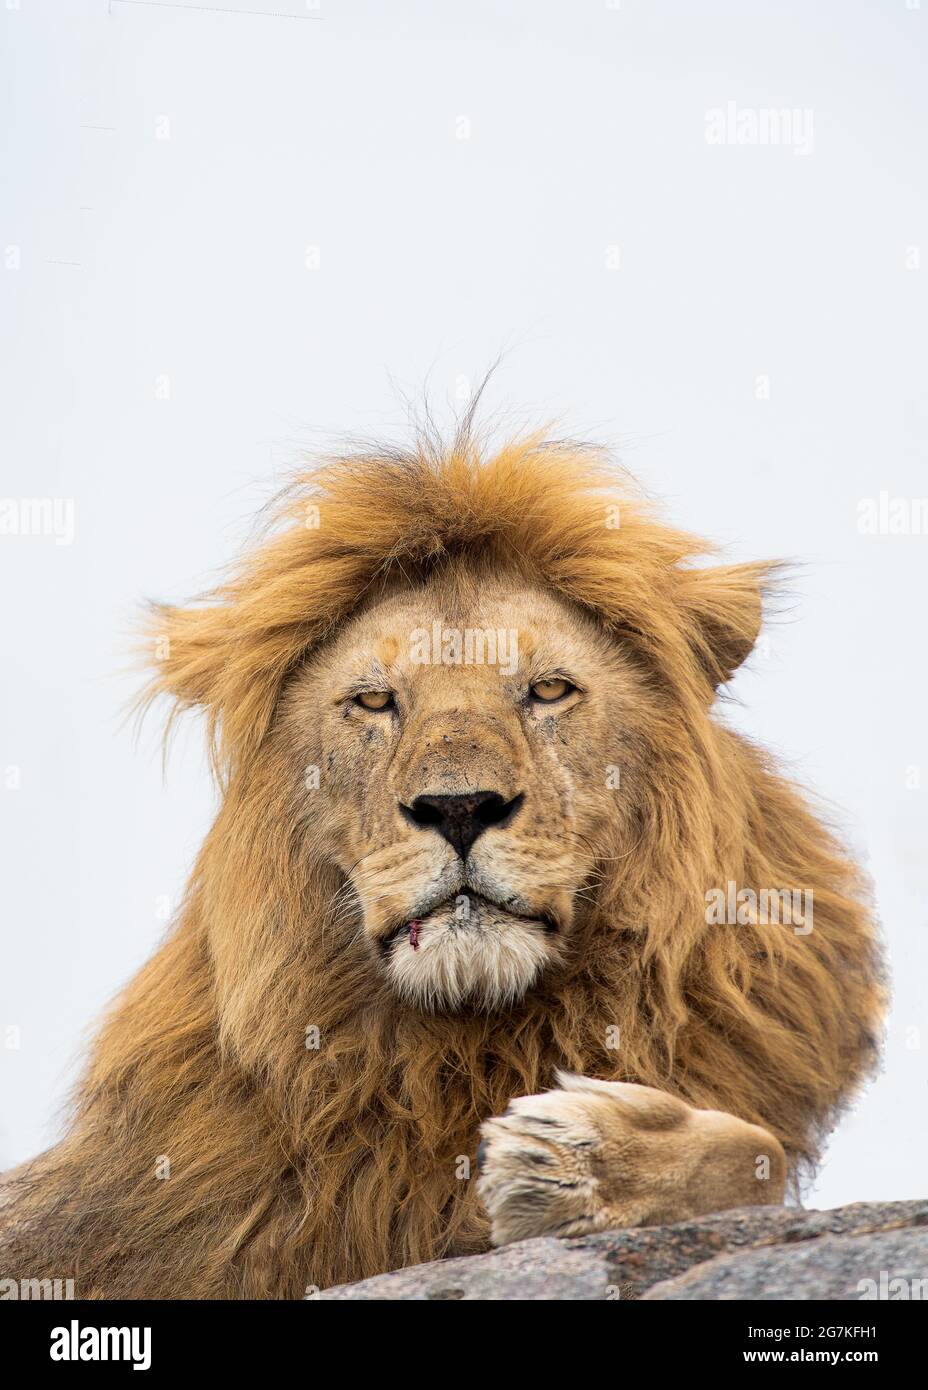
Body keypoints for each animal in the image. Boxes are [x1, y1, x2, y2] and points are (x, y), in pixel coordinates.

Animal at [0, 425, 886, 1298]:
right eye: (373, 701)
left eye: (549, 690)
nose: (459, 808)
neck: (463, 1044)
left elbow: (755, 1152)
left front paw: (582, 1158)